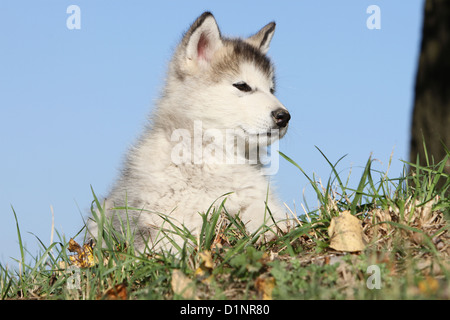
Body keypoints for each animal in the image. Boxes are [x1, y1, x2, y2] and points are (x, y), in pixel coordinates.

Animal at [85, 11, 292, 252]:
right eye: (242, 86)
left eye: (271, 90)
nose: (284, 117)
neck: (215, 157)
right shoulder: (161, 229)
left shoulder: (257, 199)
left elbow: (267, 214)